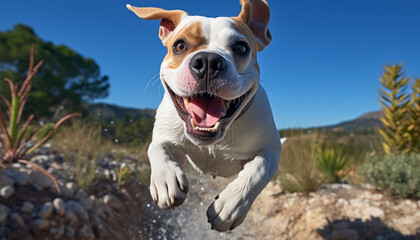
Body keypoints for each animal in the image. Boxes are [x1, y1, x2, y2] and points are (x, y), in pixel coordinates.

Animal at [125, 0, 282, 232]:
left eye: (241, 48)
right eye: (179, 46)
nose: (208, 61)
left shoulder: (271, 148)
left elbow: (259, 169)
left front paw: (231, 204)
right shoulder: (166, 136)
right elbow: (156, 147)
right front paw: (165, 180)